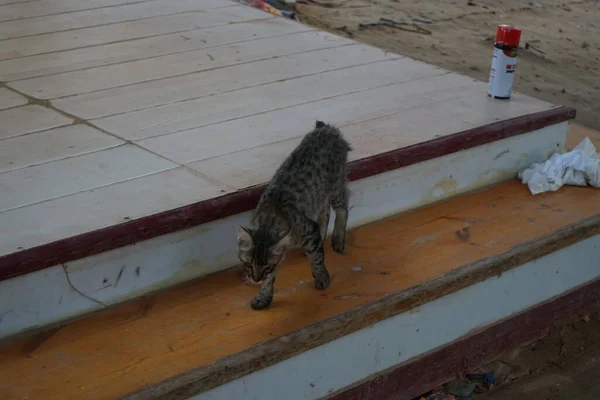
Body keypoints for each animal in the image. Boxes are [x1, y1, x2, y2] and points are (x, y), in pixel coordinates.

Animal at [237, 119, 352, 310]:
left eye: (266, 266)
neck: (268, 218)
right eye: (248, 264)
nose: (255, 279)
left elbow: (318, 260)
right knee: (325, 213)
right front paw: (264, 296)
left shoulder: (308, 229)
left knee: (344, 206)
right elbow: (269, 281)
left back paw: (338, 240)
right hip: (318, 196)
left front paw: (321, 278)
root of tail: (328, 129)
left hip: (335, 188)